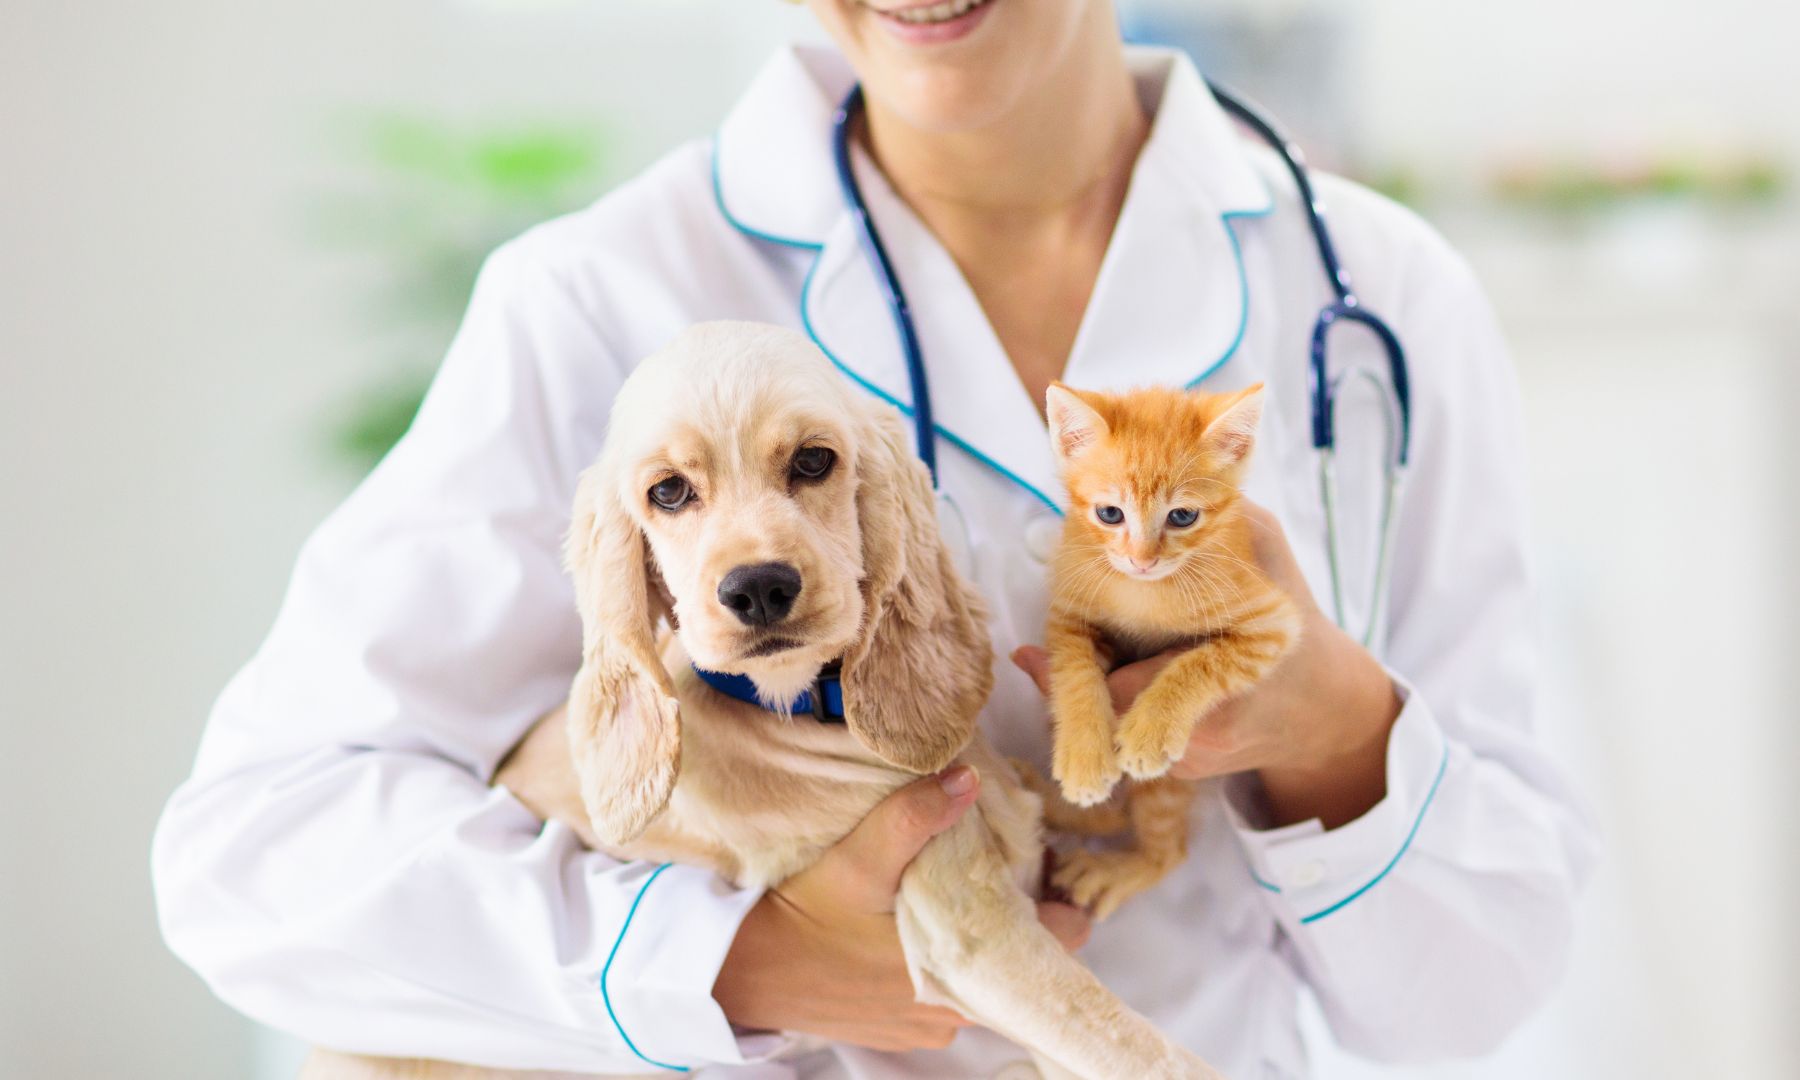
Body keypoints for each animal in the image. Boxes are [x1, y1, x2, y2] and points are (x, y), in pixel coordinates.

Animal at [1036, 383, 1303, 914]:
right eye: (1109, 513)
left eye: (1182, 516)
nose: (1142, 560)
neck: (1144, 593)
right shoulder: (1069, 613)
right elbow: (1074, 672)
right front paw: (1084, 756)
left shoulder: (1271, 622)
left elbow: (1201, 662)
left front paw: (1150, 730)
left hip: (1169, 788)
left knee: (1169, 849)